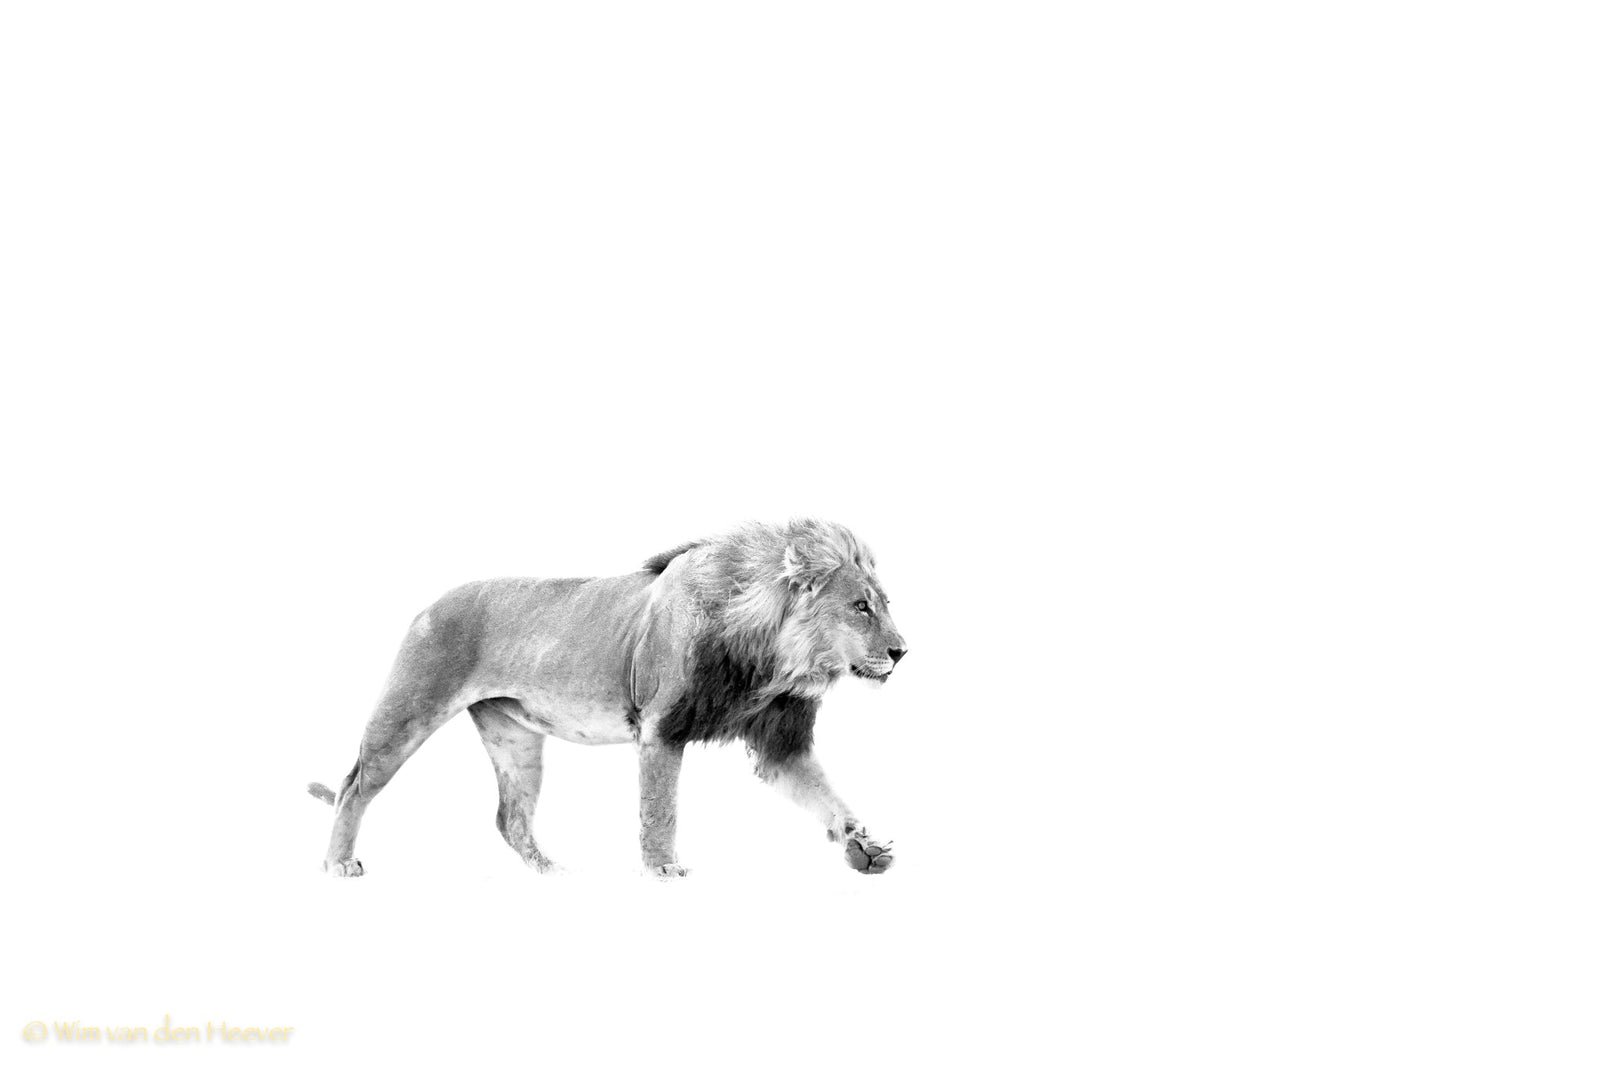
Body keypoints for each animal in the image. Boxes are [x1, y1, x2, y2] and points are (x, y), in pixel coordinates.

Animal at [308, 518, 907, 878]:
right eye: (860, 607)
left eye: (883, 603)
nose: (903, 652)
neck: (770, 661)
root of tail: (427, 603)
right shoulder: (661, 729)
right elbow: (660, 810)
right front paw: (663, 870)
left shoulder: (781, 740)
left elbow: (828, 796)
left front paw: (862, 845)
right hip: (408, 710)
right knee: (352, 787)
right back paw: (339, 864)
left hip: (515, 740)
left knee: (509, 817)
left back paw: (550, 873)